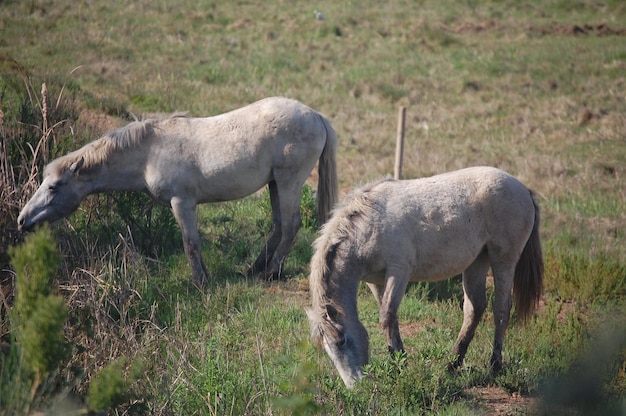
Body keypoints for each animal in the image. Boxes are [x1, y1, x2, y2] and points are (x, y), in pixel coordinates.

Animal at [17, 96, 336, 288]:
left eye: (54, 187)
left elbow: (190, 244)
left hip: (288, 181)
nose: (22, 220)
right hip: (274, 184)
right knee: (280, 225)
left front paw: (200, 283)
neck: (149, 151)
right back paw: (255, 269)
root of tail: (316, 115)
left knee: (291, 225)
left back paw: (271, 272)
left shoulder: (182, 202)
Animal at [306, 167, 540, 388]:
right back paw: (453, 363)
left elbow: (387, 316)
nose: (355, 385)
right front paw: (399, 362)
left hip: (503, 259)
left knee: (501, 309)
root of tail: (523, 189)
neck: (368, 225)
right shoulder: (375, 282)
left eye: (342, 341)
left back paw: (494, 366)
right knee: (474, 308)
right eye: (327, 349)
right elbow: (390, 318)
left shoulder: (399, 272)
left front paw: (400, 366)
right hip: (477, 261)